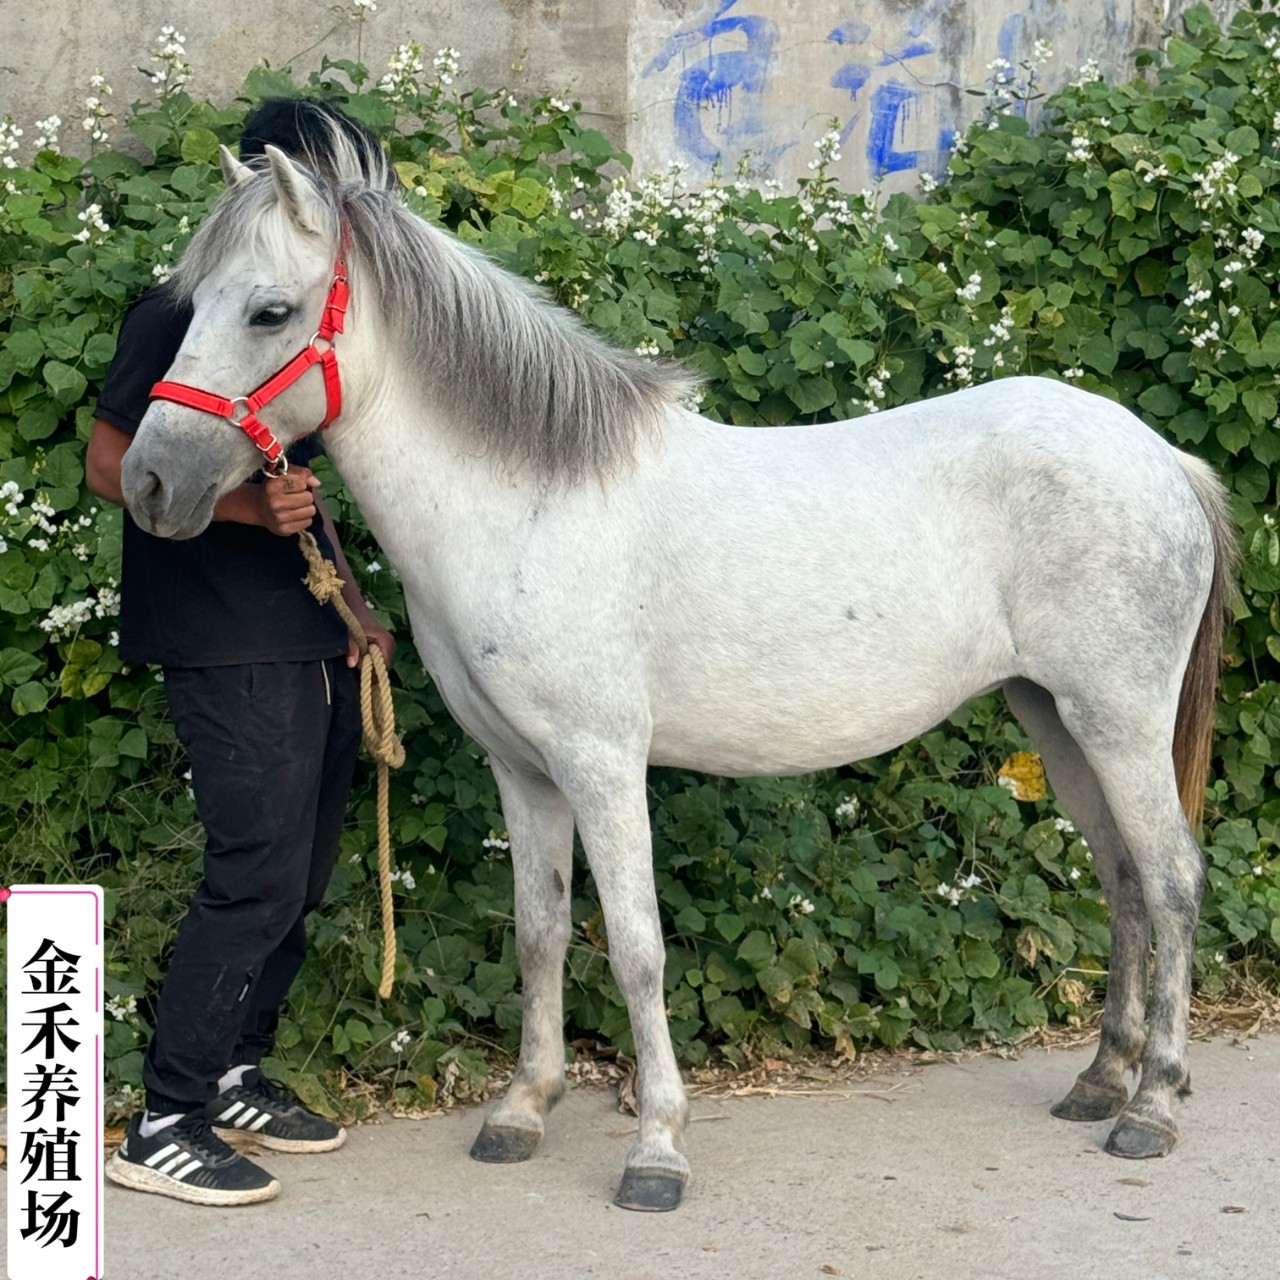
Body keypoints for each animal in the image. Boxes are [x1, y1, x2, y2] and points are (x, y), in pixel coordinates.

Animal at [119, 131, 1235, 1213]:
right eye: (190, 302)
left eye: (270, 310)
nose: (149, 481)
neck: (528, 503)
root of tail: (1160, 459)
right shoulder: (522, 772)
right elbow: (537, 934)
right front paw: (520, 1114)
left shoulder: (602, 764)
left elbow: (634, 946)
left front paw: (656, 1151)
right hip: (1056, 716)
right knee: (1122, 876)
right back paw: (1099, 1081)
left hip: (1117, 719)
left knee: (1172, 879)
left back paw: (1151, 1108)